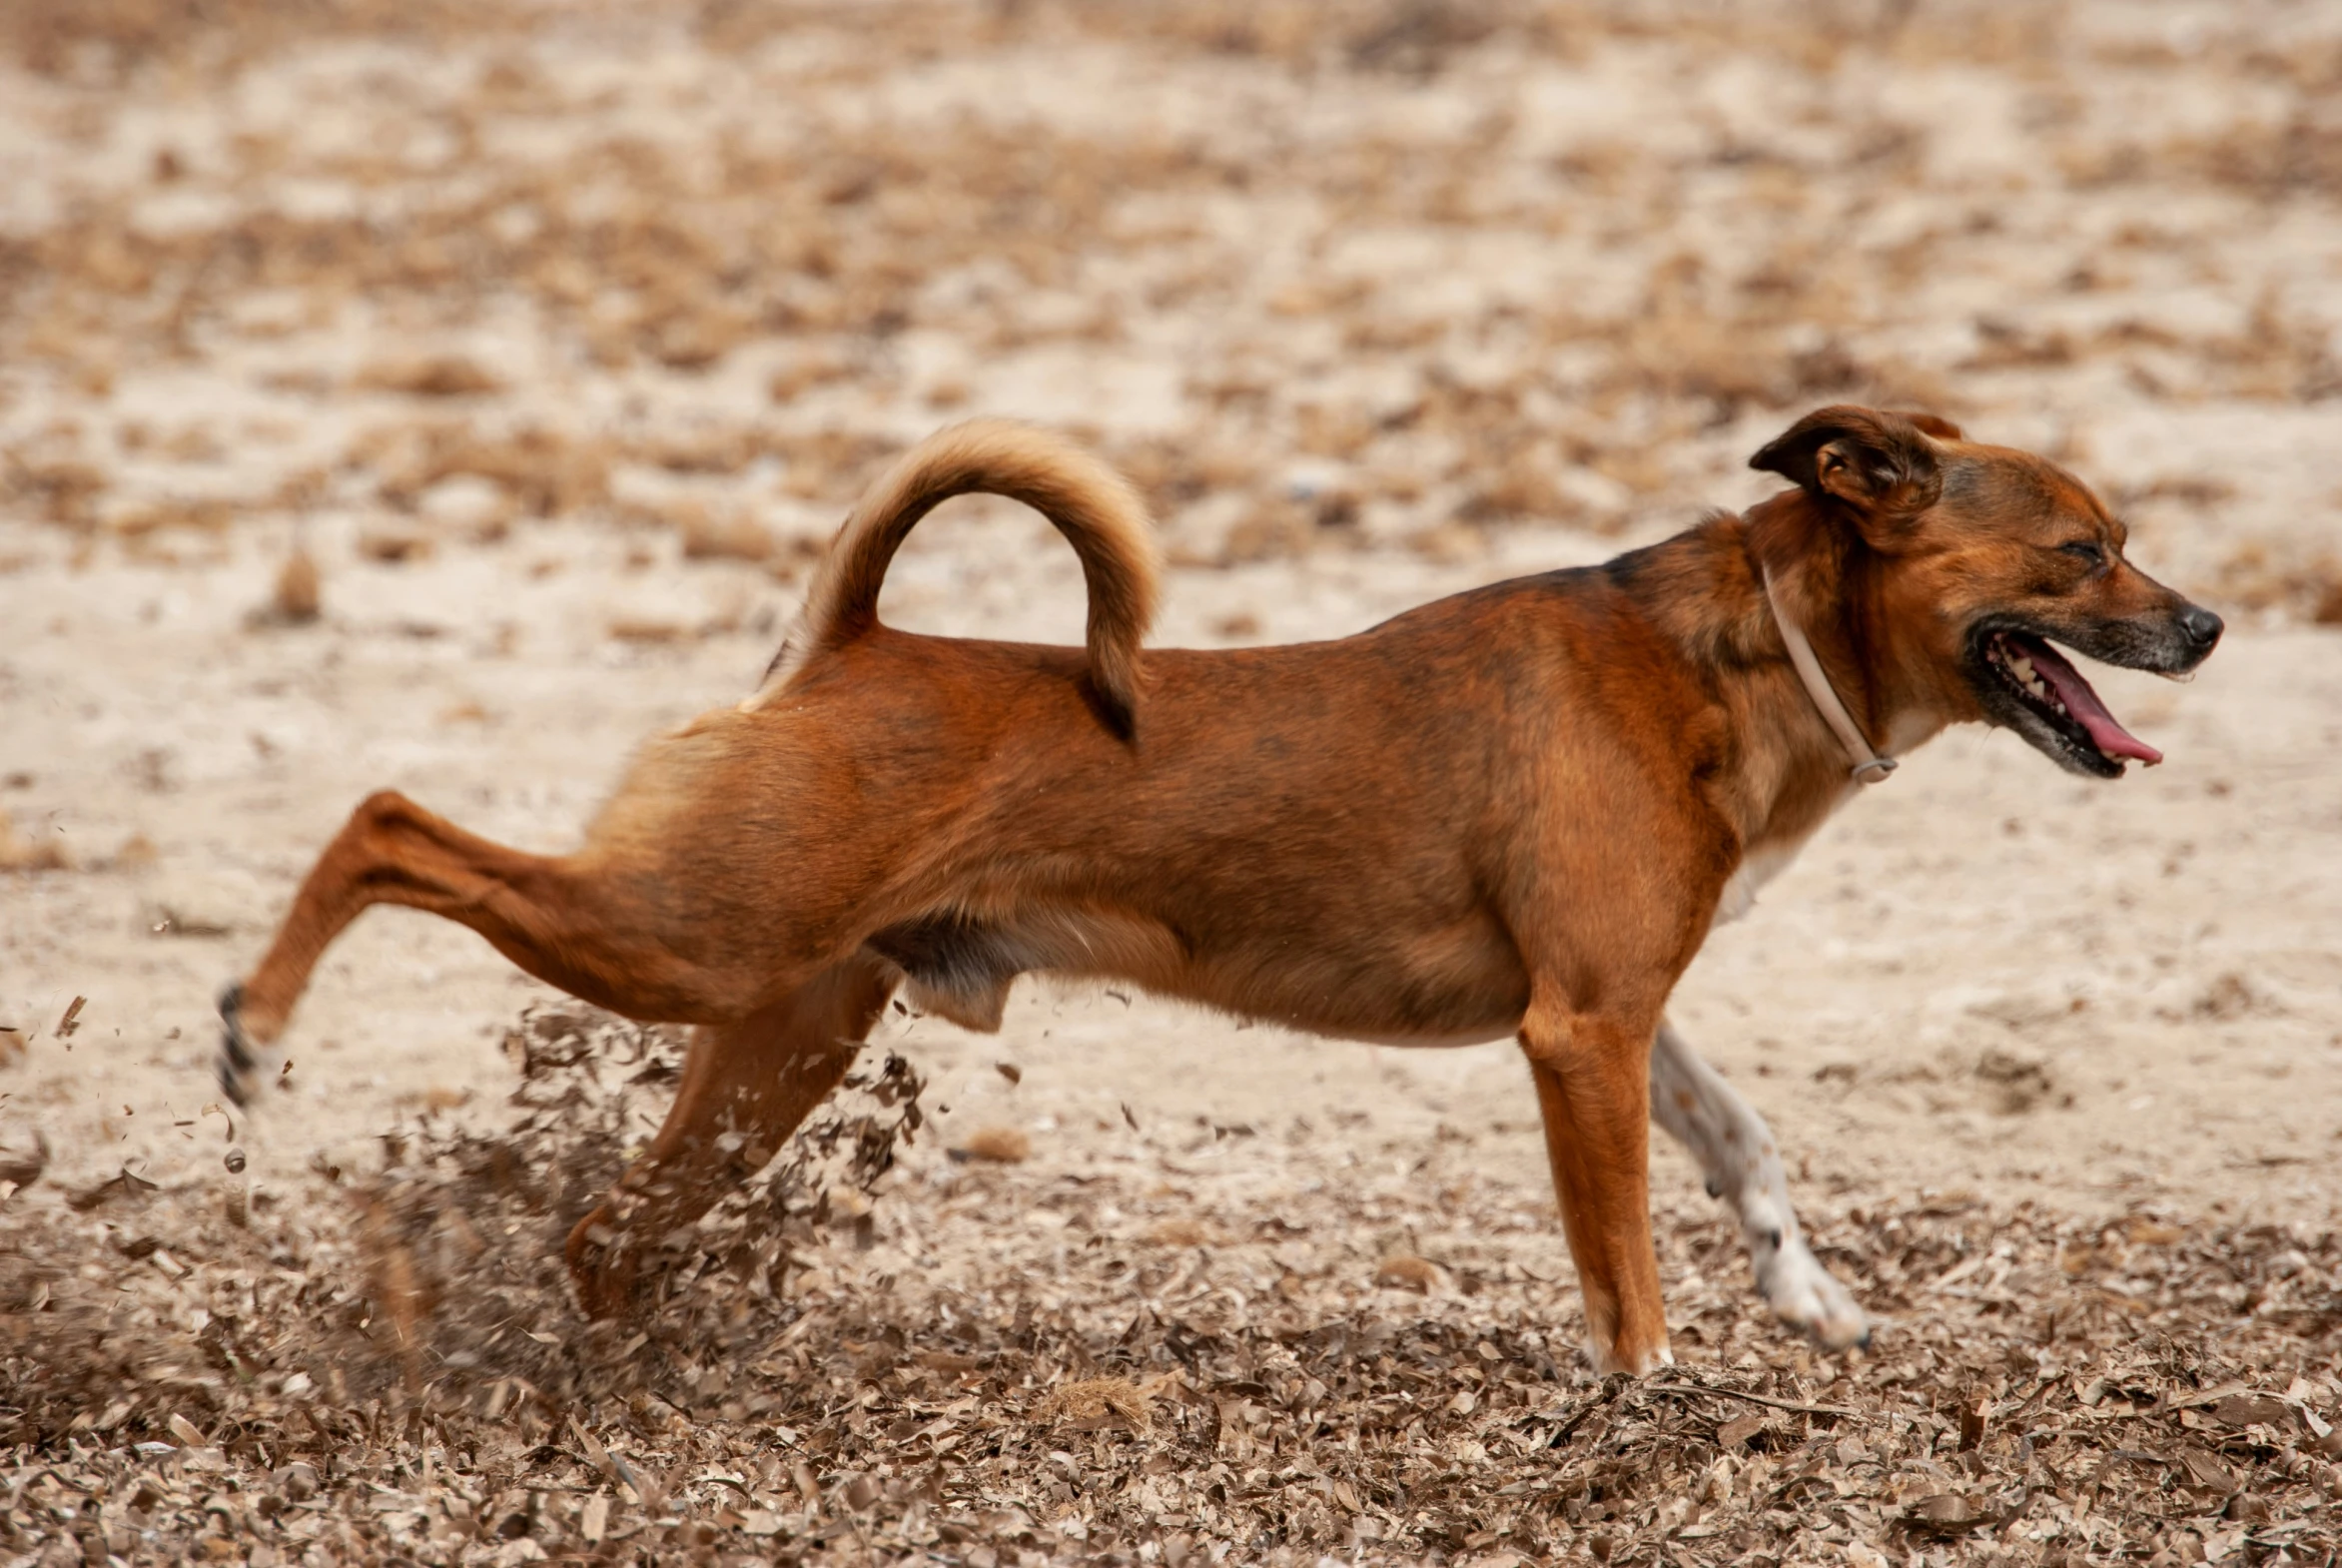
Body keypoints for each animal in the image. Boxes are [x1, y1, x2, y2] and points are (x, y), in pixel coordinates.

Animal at [228, 409, 2220, 1375]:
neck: (1730, 649)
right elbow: (1628, 1267)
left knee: (605, 1234)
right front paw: (1654, 1390)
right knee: (387, 821)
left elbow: (1744, 1141)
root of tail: (856, 644)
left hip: (775, 1032)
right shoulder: (1578, 1034)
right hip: (690, 939)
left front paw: (1807, 1295)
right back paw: (251, 1025)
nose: (2205, 624)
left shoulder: (1616, 1012)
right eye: (2082, 551)